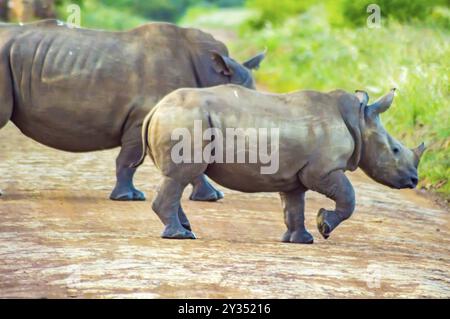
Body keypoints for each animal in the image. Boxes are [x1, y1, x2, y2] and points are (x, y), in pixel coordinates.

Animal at [135, 86, 424, 244]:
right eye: (395, 150)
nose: (414, 180)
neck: (359, 120)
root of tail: (156, 108)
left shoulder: (295, 177)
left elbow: (294, 206)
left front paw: (301, 241)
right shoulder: (323, 171)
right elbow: (348, 197)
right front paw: (324, 226)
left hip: (181, 118)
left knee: (176, 178)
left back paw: (185, 230)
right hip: (185, 120)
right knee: (180, 176)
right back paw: (180, 235)